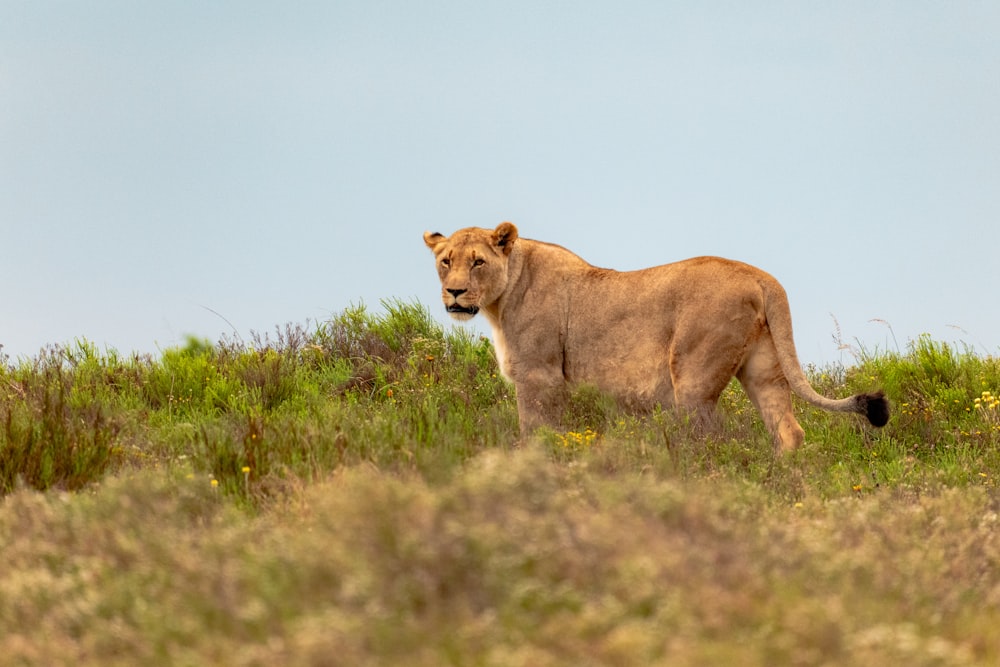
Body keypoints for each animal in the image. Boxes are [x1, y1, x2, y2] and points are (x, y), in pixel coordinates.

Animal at [422, 222, 892, 452]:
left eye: (478, 262)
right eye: (446, 261)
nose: (455, 292)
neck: (501, 300)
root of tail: (761, 277)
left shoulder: (539, 376)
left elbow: (535, 433)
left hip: (692, 377)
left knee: (710, 437)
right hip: (763, 368)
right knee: (788, 430)